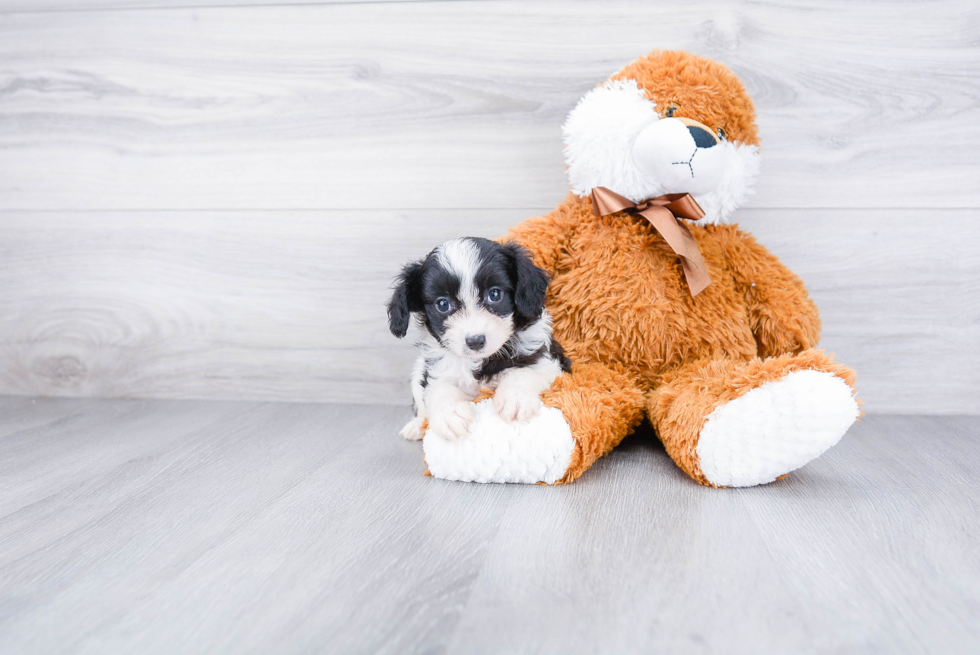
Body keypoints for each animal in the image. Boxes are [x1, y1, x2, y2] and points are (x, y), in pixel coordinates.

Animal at [386, 236, 572, 440]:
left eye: (495, 294)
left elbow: (524, 372)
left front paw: (515, 399)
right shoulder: (436, 370)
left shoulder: (548, 361)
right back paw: (417, 426)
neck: (480, 361)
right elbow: (440, 389)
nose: (475, 341)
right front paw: (451, 415)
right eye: (442, 304)